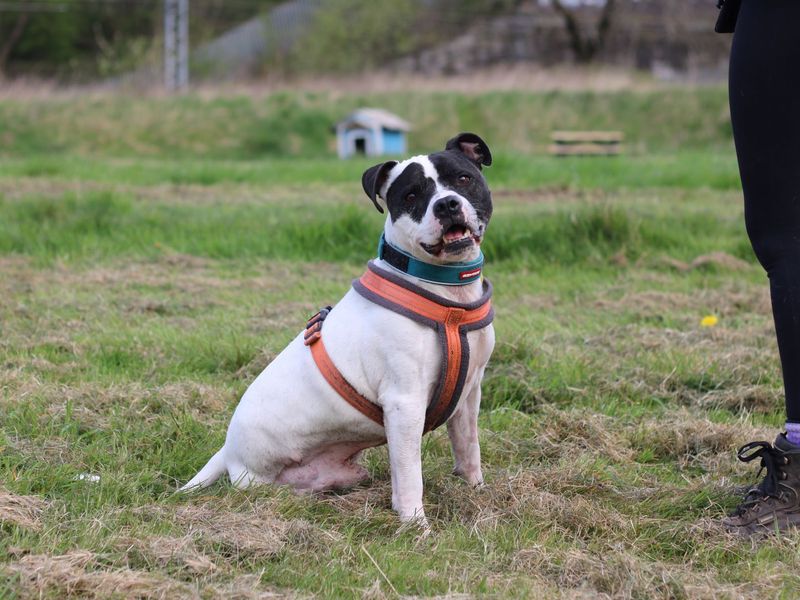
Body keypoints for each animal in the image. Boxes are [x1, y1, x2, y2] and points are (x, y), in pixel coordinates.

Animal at [180, 132, 494, 524]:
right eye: (411, 195)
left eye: (463, 179)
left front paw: (477, 494)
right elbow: (409, 475)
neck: (447, 295)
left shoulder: (469, 393)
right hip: (258, 481)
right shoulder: (404, 404)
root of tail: (226, 450)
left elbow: (469, 451)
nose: (447, 205)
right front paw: (414, 524)